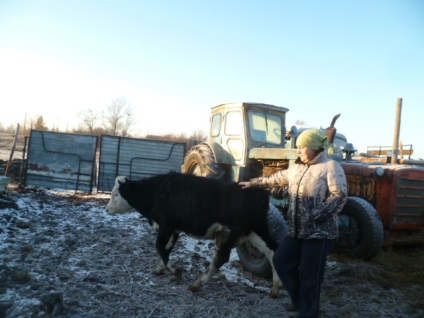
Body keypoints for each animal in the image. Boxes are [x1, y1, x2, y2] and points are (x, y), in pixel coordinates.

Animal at [106, 171, 282, 298]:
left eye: (115, 194)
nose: (107, 209)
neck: (157, 191)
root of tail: (260, 193)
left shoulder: (167, 225)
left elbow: (160, 247)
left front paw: (174, 270)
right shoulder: (174, 229)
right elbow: (166, 249)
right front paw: (160, 268)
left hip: (229, 233)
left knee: (220, 259)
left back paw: (196, 284)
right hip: (256, 231)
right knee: (272, 250)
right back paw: (275, 289)